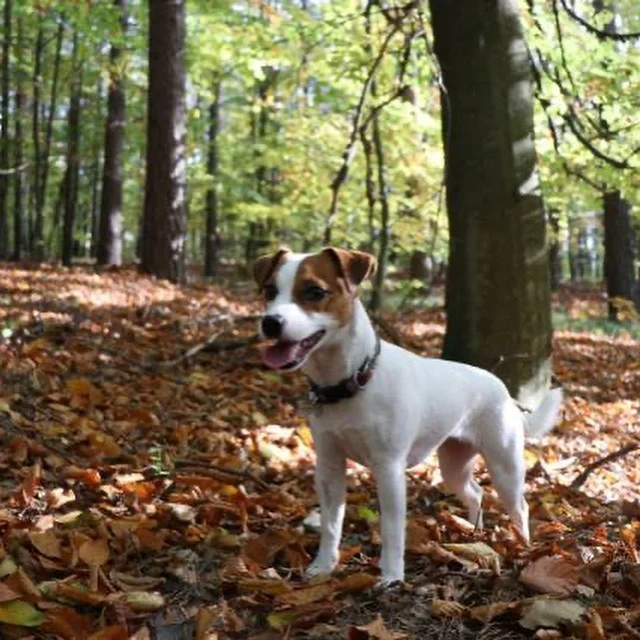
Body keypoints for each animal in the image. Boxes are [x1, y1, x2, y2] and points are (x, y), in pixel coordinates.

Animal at [252, 248, 564, 588]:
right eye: (269, 291)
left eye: (315, 292)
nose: (270, 322)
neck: (356, 379)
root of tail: (503, 390)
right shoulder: (329, 466)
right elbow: (331, 523)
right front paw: (323, 565)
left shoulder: (388, 468)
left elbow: (391, 529)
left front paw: (391, 576)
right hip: (454, 465)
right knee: (475, 494)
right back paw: (474, 535)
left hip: (505, 466)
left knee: (520, 507)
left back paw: (523, 545)